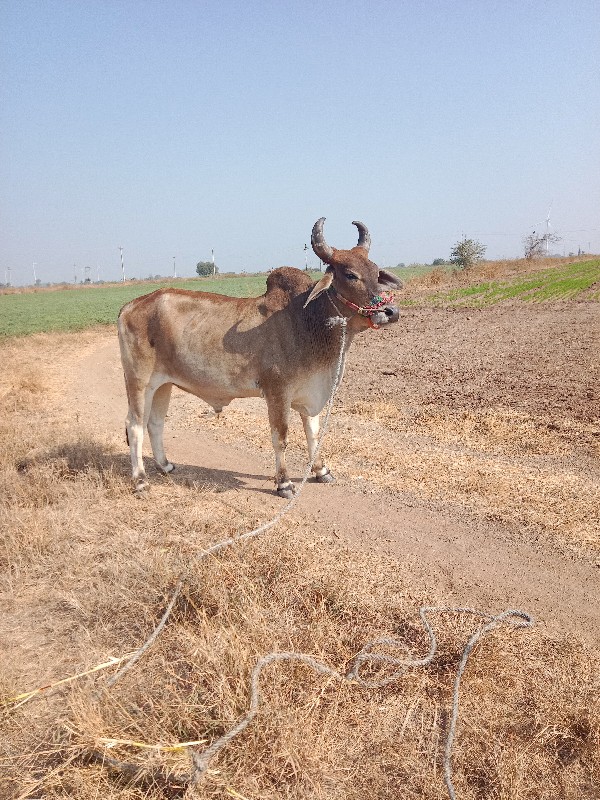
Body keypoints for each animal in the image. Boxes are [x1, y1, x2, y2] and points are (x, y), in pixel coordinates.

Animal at [118, 216, 400, 496]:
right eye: (350, 275)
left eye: (376, 272)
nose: (390, 311)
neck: (306, 320)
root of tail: (129, 306)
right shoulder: (277, 392)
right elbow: (281, 438)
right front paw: (284, 483)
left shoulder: (311, 393)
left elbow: (313, 434)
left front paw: (321, 471)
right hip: (139, 382)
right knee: (135, 425)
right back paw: (140, 480)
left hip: (162, 384)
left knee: (155, 423)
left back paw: (165, 465)